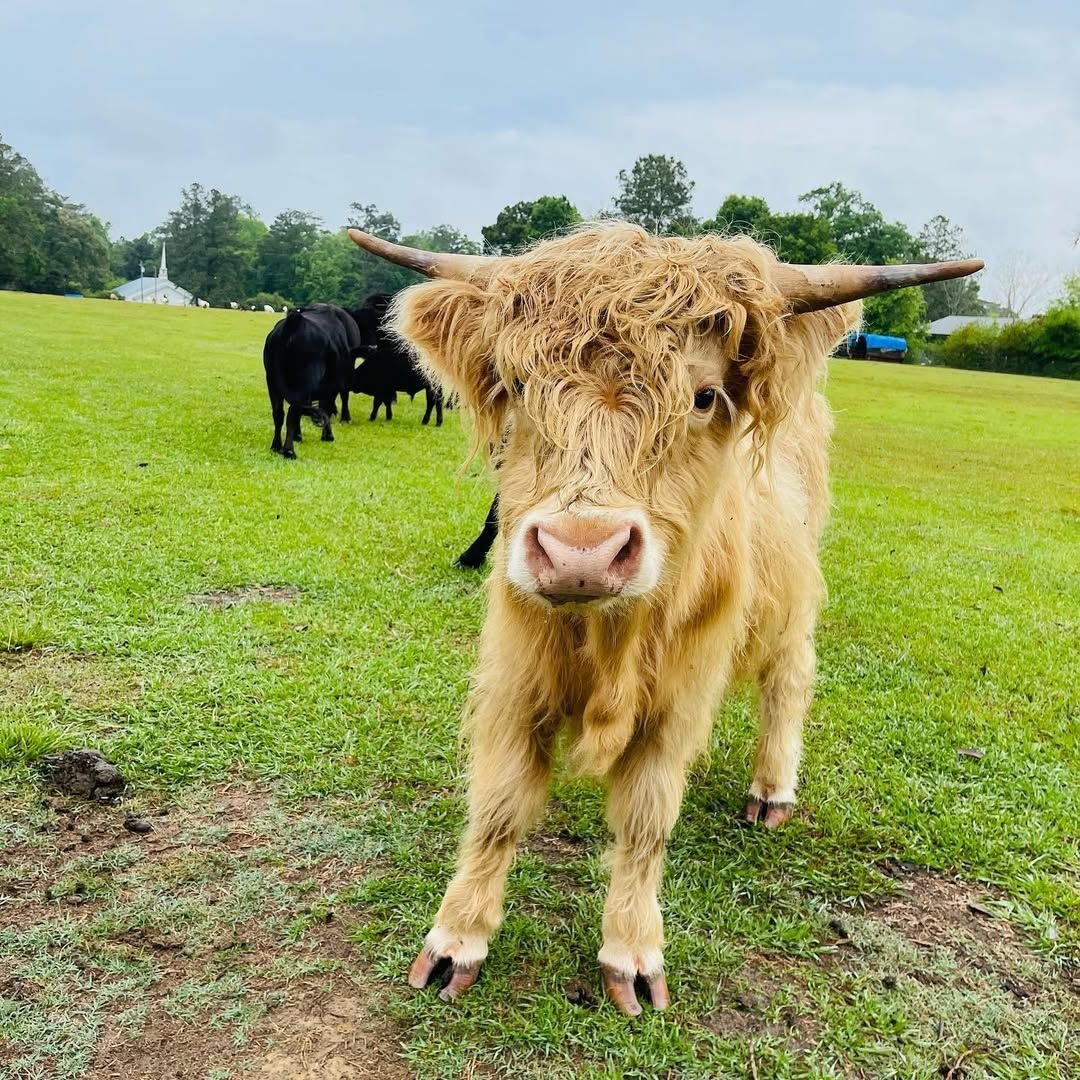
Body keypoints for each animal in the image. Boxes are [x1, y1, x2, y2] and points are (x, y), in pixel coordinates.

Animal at [262, 303, 362, 458]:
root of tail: (294, 323)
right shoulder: (334, 384)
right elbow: (327, 407)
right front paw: (328, 435)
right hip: (304, 381)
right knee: (293, 411)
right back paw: (289, 451)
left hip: (272, 381)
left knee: (279, 413)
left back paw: (276, 446)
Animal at [348, 292, 445, 425]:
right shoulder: (387, 388)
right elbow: (386, 402)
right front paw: (388, 416)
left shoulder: (382, 388)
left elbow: (377, 402)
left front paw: (372, 417)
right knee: (434, 402)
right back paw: (433, 422)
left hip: (431, 386)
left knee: (433, 402)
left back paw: (429, 421)